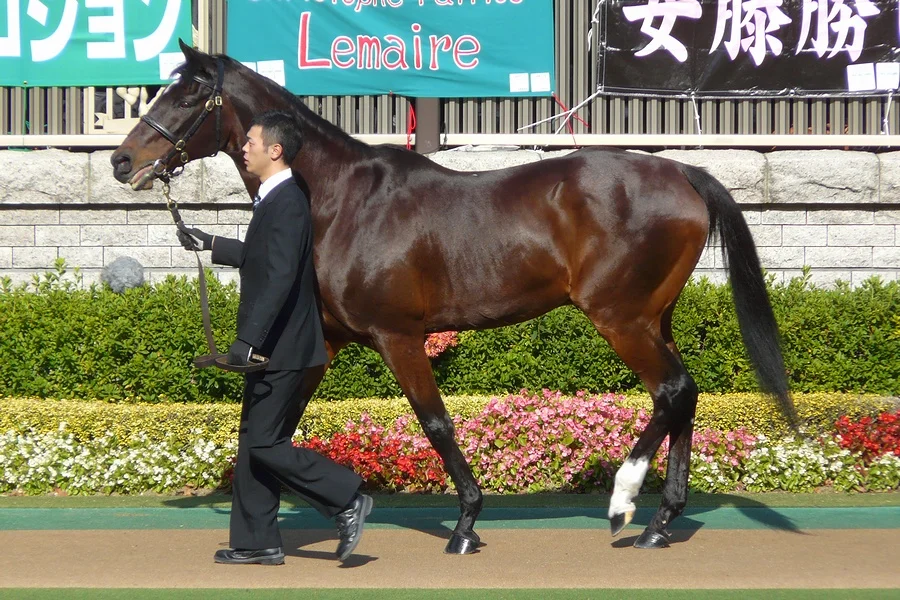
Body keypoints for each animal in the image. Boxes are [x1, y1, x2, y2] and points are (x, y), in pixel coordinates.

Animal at [111, 41, 796, 553]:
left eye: (188, 94)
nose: (122, 160)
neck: (341, 201)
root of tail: (684, 172)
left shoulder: (396, 336)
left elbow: (435, 422)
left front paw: (466, 521)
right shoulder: (324, 340)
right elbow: (272, 429)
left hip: (620, 317)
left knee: (672, 391)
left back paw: (625, 503)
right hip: (655, 317)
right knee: (683, 395)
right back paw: (661, 521)